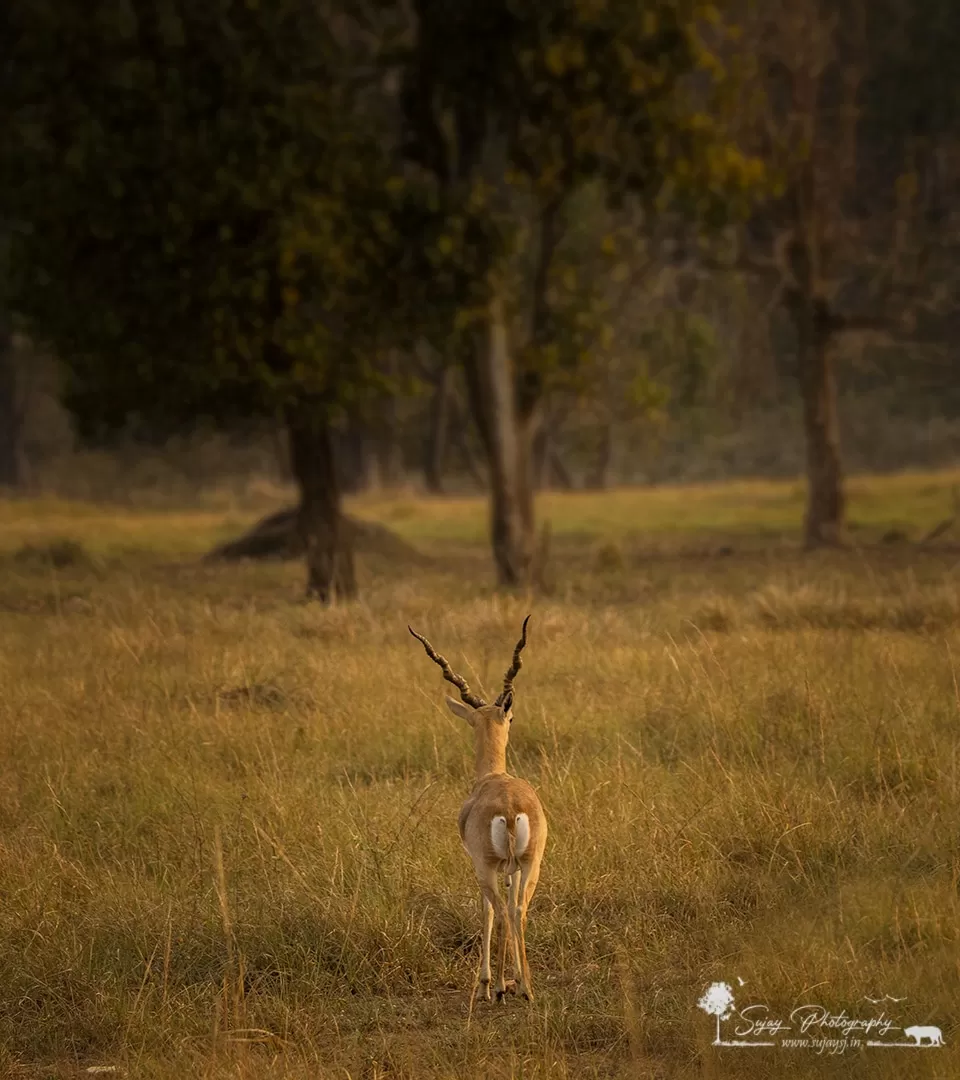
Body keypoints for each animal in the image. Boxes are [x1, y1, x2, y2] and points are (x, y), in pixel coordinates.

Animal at [408, 617, 546, 1002]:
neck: (493, 776)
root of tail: (511, 809)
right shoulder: (511, 869)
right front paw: (515, 977)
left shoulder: (479, 864)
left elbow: (484, 912)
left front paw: (486, 982)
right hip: (531, 863)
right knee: (518, 910)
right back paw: (526, 987)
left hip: (487, 868)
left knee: (498, 911)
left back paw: (497, 987)